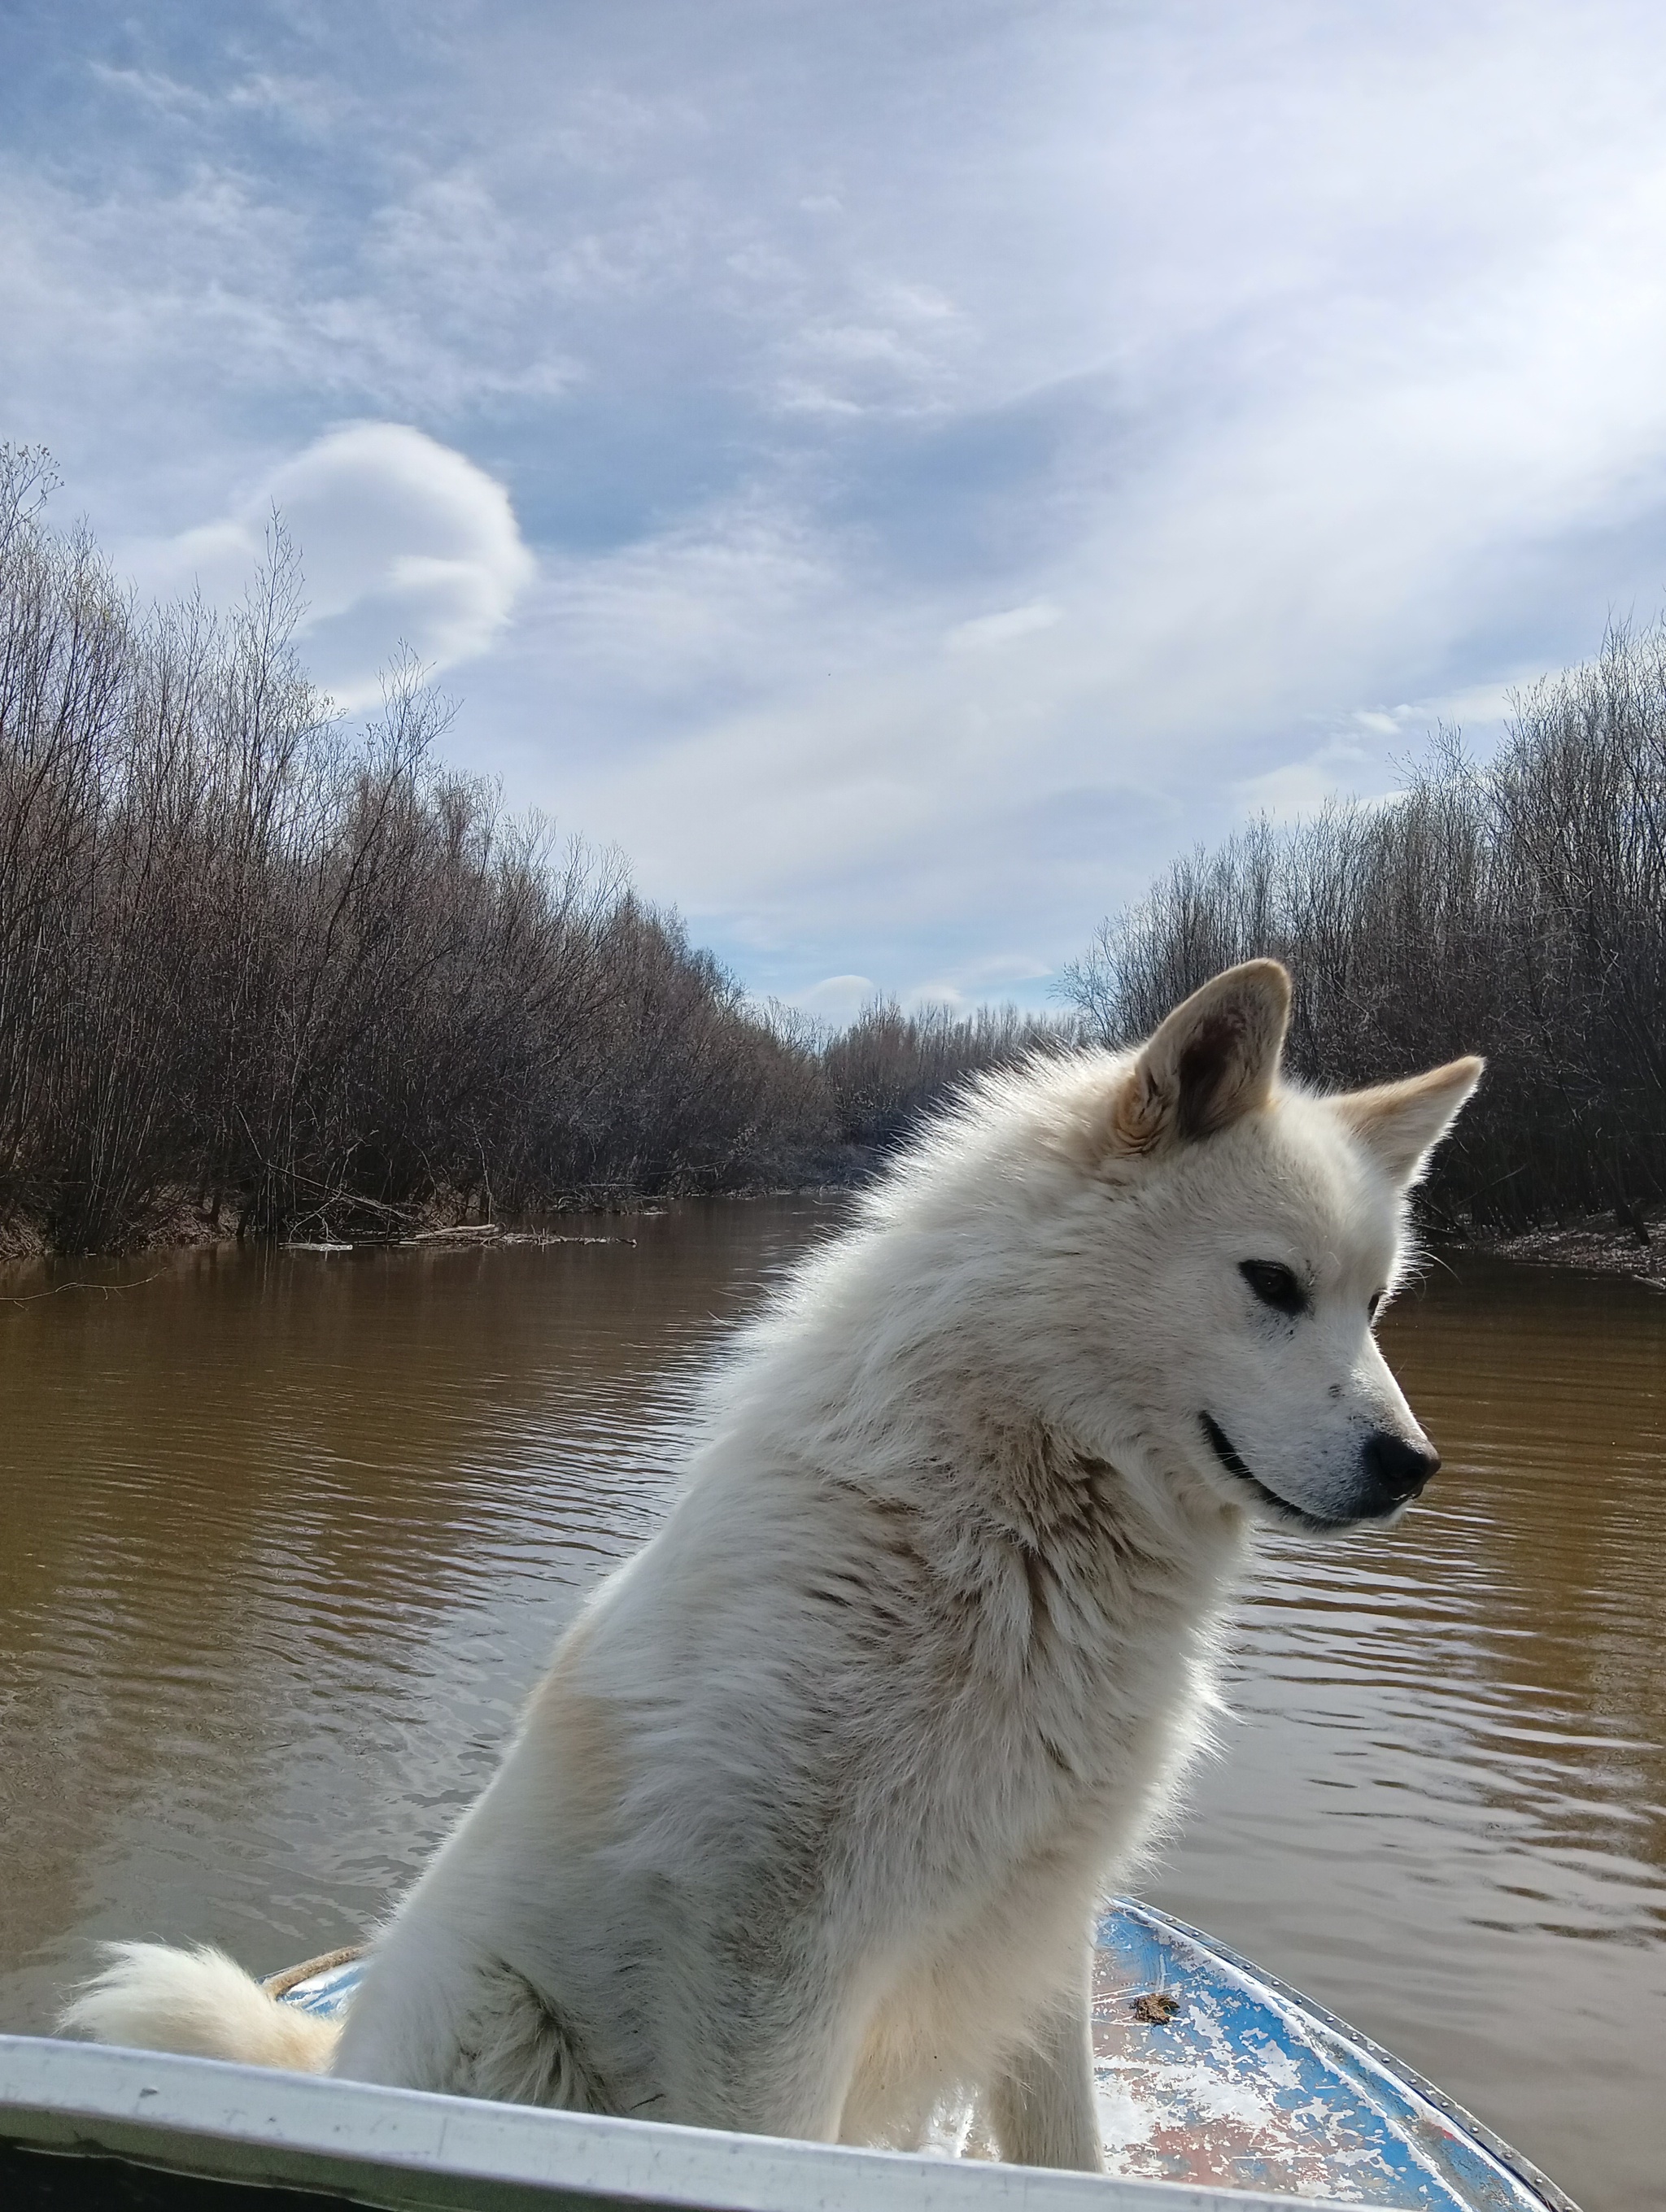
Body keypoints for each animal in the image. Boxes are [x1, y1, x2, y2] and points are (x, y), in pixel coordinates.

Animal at [61, 969, 1477, 2176]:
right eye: (1272, 1284)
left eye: (1373, 1306)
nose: (1413, 1466)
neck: (1009, 1527)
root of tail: (336, 2058)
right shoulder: (772, 1961)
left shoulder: (1037, 1932)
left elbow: (1068, 2153)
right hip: (508, 2027)